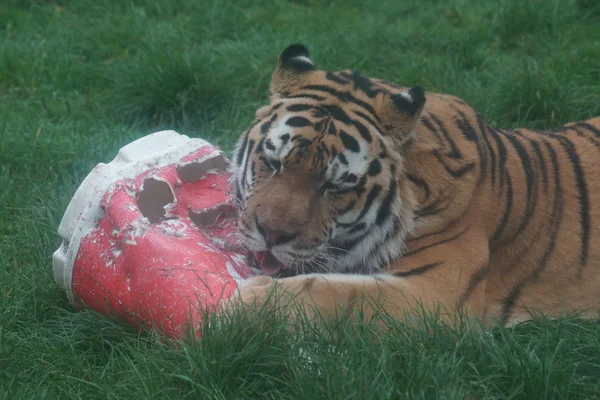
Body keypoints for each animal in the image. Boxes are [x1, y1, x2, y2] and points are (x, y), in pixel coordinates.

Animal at [224, 43, 600, 326]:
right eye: (274, 163)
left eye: (335, 188)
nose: (271, 235)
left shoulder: (436, 294)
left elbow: (333, 292)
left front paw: (243, 304)